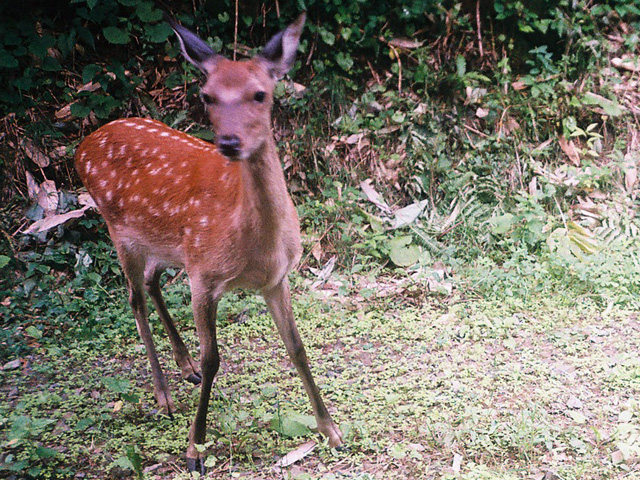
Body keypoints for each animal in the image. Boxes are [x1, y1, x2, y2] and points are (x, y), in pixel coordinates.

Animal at [74, 12, 342, 472]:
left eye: (260, 93)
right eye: (207, 96)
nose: (230, 143)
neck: (256, 247)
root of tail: (82, 144)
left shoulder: (276, 278)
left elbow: (297, 347)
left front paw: (331, 431)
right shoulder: (204, 276)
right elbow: (214, 358)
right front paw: (195, 450)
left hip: (167, 244)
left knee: (150, 281)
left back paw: (183, 368)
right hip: (119, 228)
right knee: (134, 298)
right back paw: (164, 395)